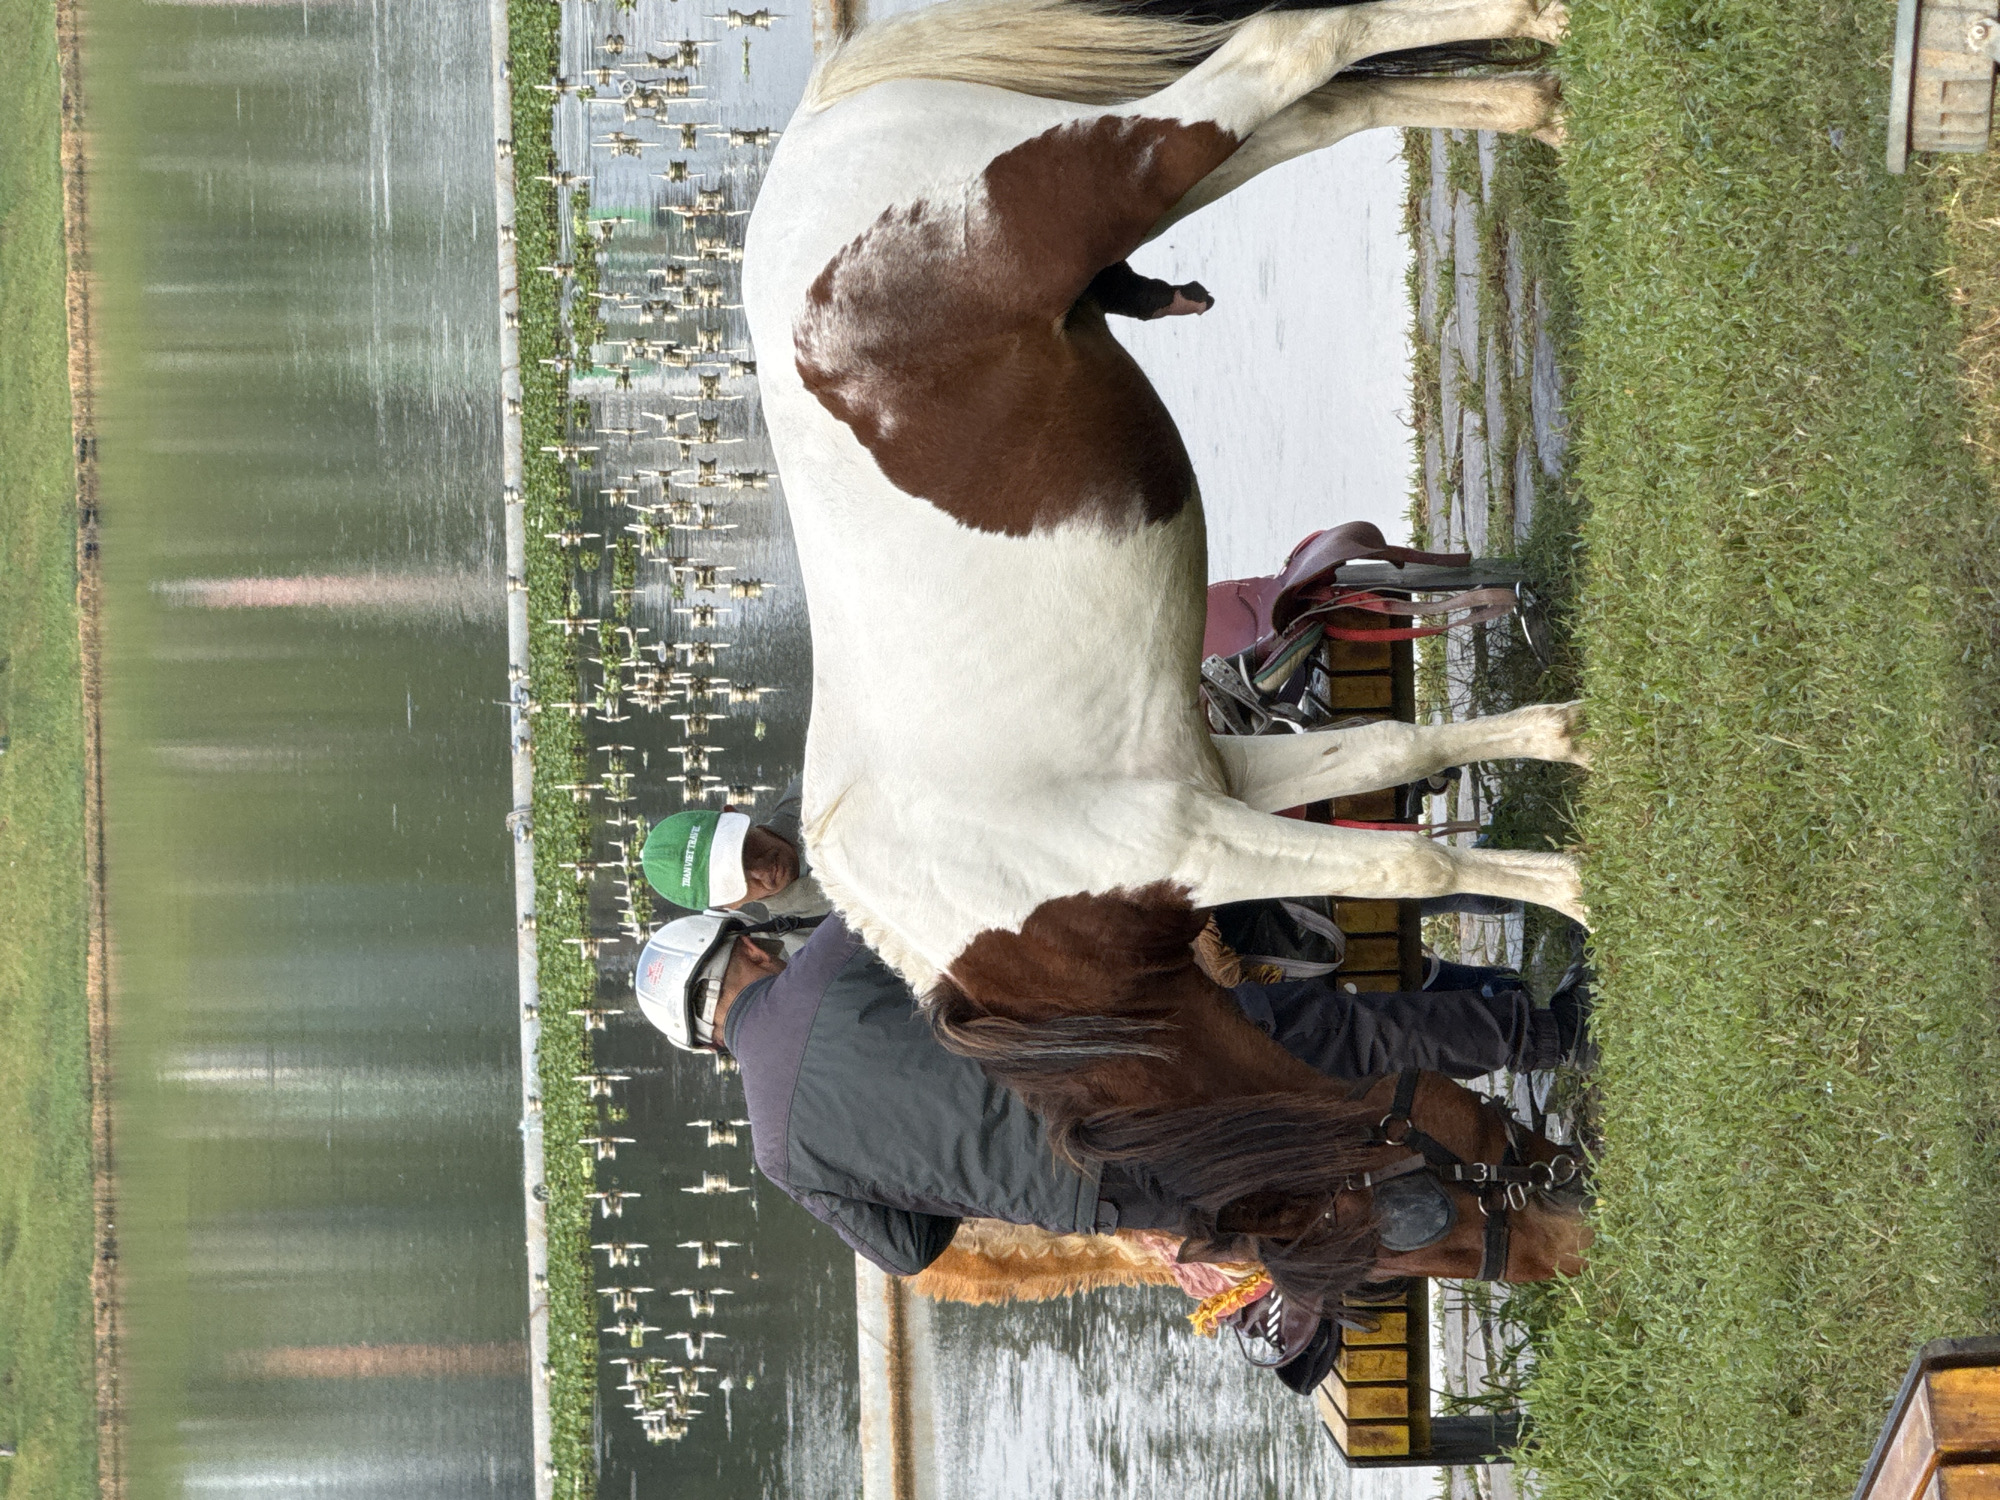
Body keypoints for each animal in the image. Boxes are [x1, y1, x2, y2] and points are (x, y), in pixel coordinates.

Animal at [742, 0, 1589, 1308]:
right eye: (1400, 1229)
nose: (1560, 1240)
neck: (1011, 943)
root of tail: (812, 138)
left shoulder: (1197, 843)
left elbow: (1402, 858)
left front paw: (1579, 886)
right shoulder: (1222, 790)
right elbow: (1391, 769)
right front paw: (1570, 748)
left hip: (1117, 169)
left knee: (1292, 51)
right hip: (1154, 183)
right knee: (1322, 106)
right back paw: (1529, 101)